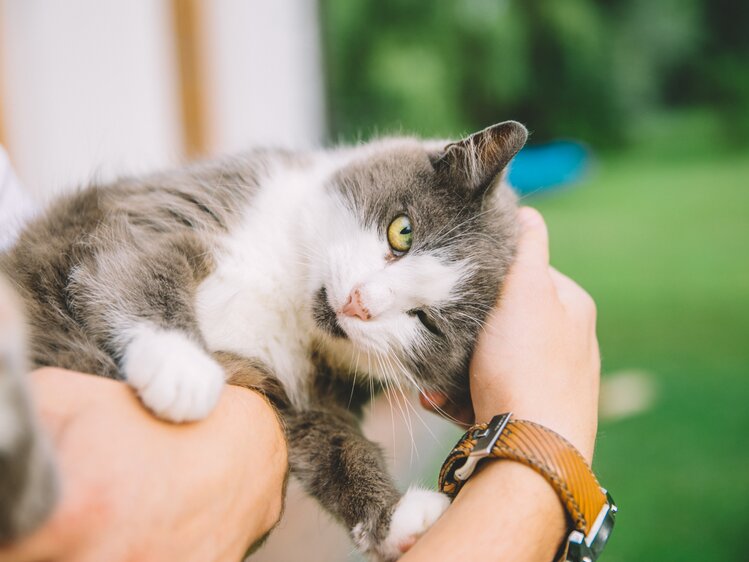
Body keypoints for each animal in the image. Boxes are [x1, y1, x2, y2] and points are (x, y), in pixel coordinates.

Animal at [0, 119, 524, 556]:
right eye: (403, 231)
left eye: (426, 321)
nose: (359, 302)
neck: (289, 295)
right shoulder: (163, 212)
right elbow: (139, 264)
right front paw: (183, 369)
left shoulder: (303, 390)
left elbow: (335, 444)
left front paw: (395, 519)